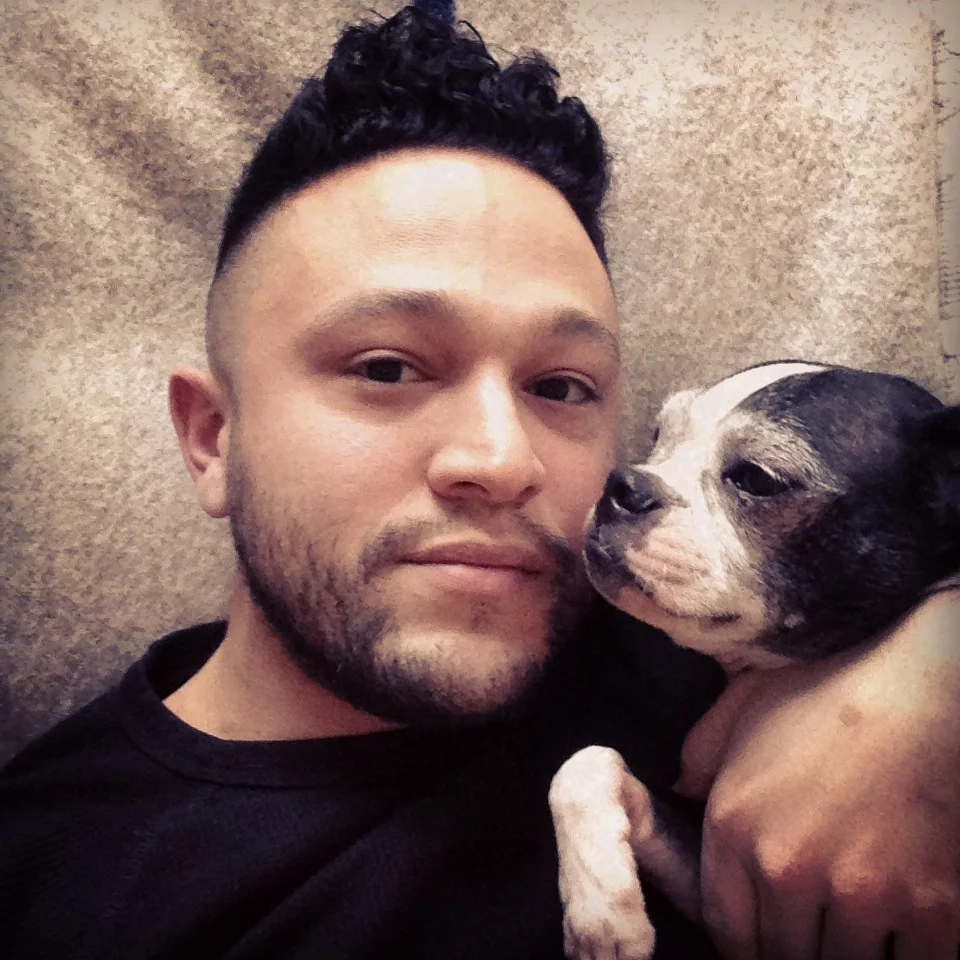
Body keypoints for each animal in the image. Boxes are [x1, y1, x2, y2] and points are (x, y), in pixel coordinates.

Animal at [549, 360, 960, 959]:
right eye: (660, 436)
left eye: (758, 480)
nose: (621, 484)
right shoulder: (713, 894)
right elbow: (585, 762)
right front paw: (602, 914)